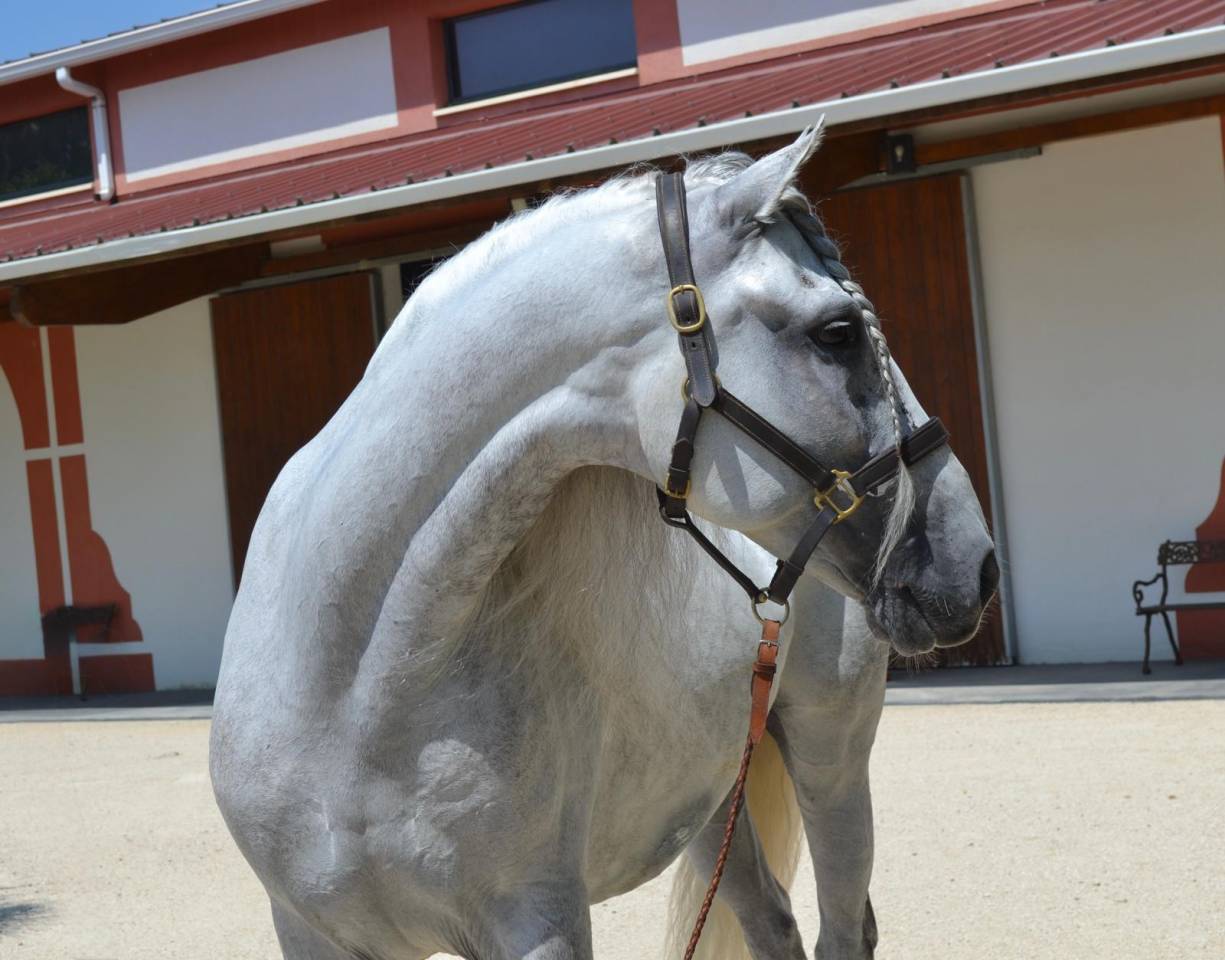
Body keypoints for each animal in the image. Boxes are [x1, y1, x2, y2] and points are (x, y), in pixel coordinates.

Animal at [209, 127, 997, 960]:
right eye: (837, 333)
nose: (974, 565)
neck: (355, 680)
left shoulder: (540, 922)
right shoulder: (309, 929)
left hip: (831, 758)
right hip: (708, 792)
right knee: (770, 921)